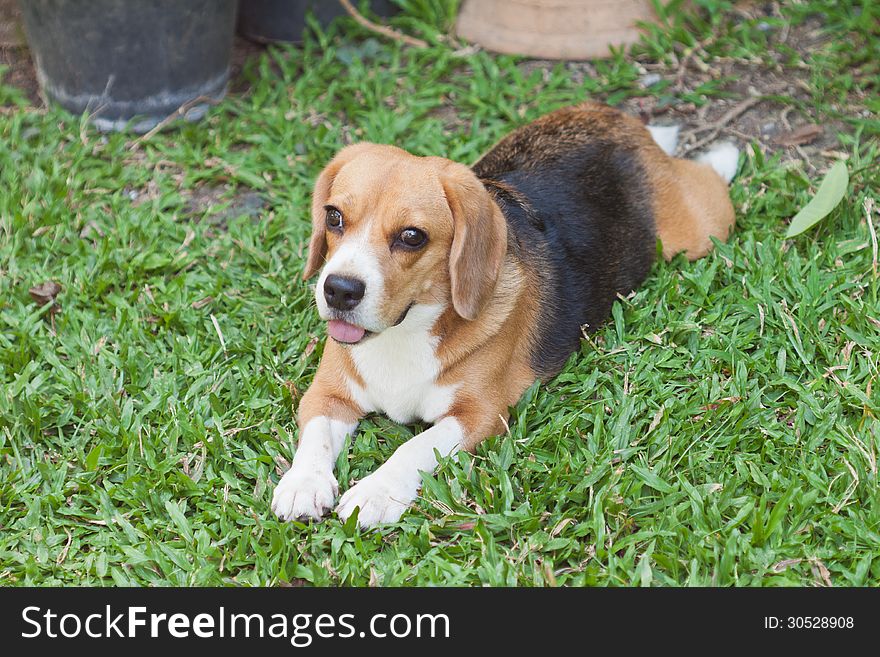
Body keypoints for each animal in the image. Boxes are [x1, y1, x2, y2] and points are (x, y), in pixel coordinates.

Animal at [270, 101, 736, 528]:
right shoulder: (327, 394)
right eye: (334, 217)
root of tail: (612, 116)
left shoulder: (478, 415)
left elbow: (414, 447)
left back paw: (721, 156)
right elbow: (315, 437)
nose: (339, 290)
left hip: (699, 229)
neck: (404, 334)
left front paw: (377, 492)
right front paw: (304, 483)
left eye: (412, 237)